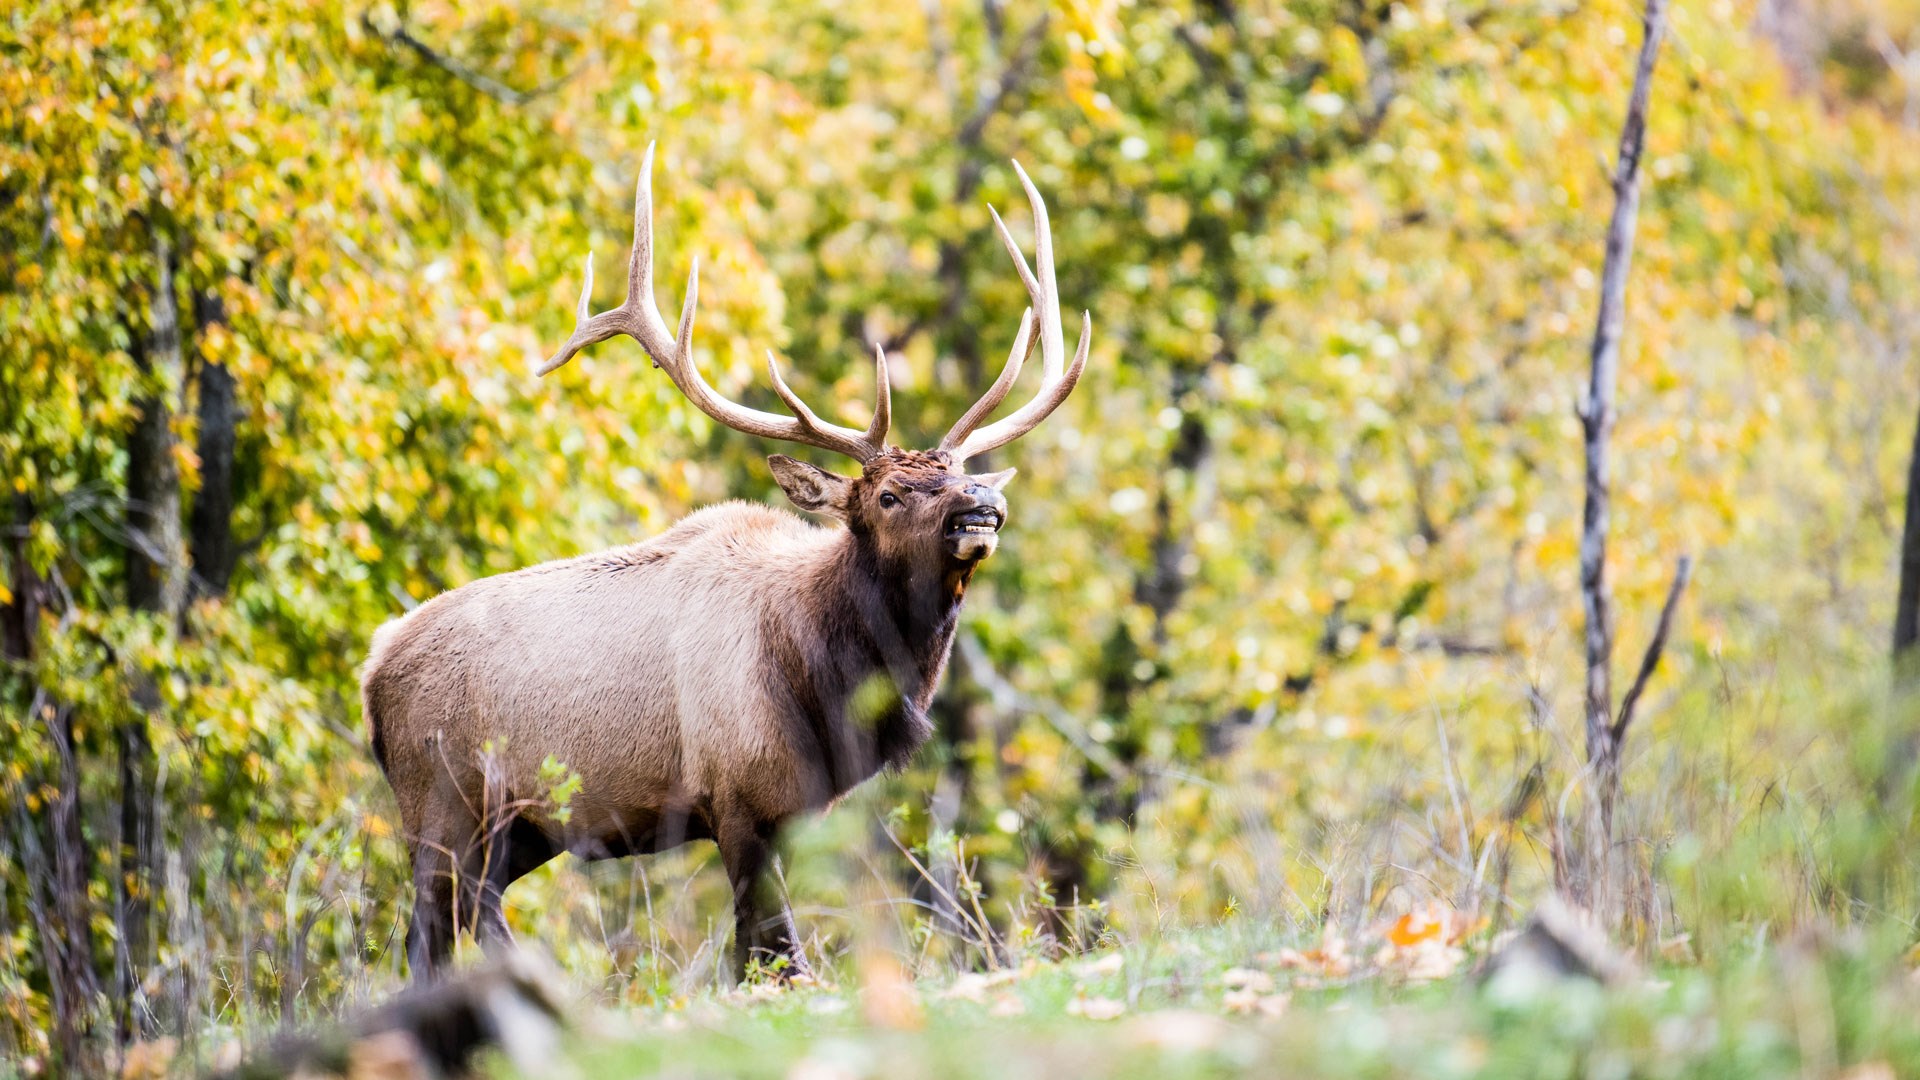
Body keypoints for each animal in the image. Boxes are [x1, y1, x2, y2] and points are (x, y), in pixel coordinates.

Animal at [361, 145, 1090, 983]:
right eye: (889, 495)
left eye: (960, 470)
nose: (981, 504)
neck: (826, 677)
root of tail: (372, 672)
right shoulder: (738, 796)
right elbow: (770, 951)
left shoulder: (793, 811)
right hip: (445, 802)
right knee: (442, 923)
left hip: (513, 829)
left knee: (452, 925)